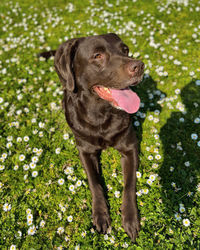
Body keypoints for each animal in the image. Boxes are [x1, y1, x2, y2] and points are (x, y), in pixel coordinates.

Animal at [41, 34, 144, 241]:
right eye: (97, 56)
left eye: (125, 50)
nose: (139, 66)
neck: (101, 115)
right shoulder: (85, 151)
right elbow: (94, 182)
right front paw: (101, 214)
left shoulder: (130, 147)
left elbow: (129, 184)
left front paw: (130, 218)